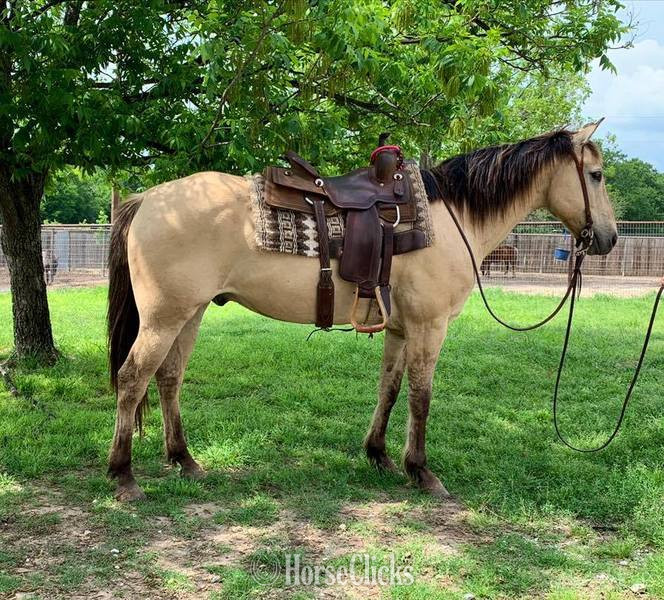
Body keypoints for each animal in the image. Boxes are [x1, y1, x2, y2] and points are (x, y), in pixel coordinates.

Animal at [107, 122, 617, 502]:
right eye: (595, 174)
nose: (609, 238)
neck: (451, 217)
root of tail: (148, 199)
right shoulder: (429, 327)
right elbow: (421, 396)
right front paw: (421, 471)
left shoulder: (400, 329)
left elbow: (389, 388)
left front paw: (379, 455)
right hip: (164, 317)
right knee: (132, 379)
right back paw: (123, 475)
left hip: (189, 314)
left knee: (168, 378)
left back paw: (184, 460)